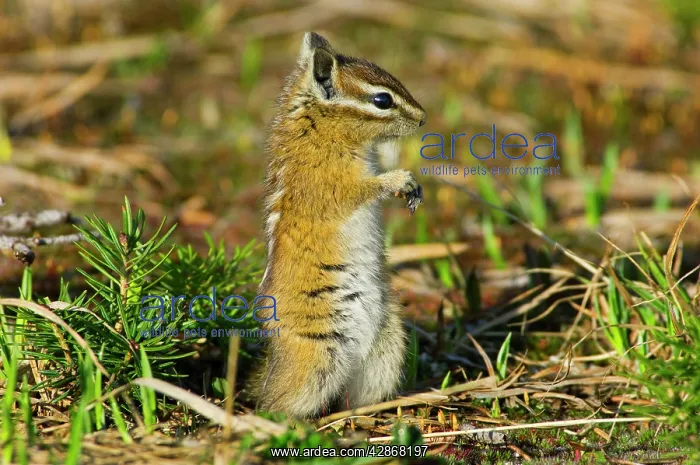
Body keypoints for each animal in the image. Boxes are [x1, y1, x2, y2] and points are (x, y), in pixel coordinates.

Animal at [253, 32, 426, 419]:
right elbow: (358, 191)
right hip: (317, 356)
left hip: (387, 342)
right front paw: (399, 179)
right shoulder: (328, 182)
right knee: (274, 403)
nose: (423, 119)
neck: (318, 125)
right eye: (382, 100)